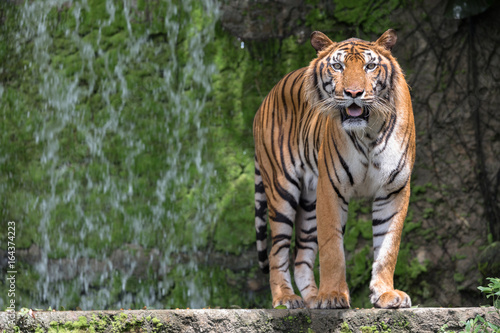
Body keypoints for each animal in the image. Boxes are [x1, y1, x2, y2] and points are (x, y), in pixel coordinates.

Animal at [254, 29, 414, 308]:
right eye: (338, 66)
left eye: (370, 66)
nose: (354, 92)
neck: (369, 131)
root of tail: (267, 97)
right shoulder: (330, 187)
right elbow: (332, 248)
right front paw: (332, 295)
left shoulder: (394, 190)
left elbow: (388, 247)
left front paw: (385, 294)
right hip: (282, 190)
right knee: (277, 251)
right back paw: (286, 298)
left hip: (308, 202)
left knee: (301, 257)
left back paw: (311, 298)